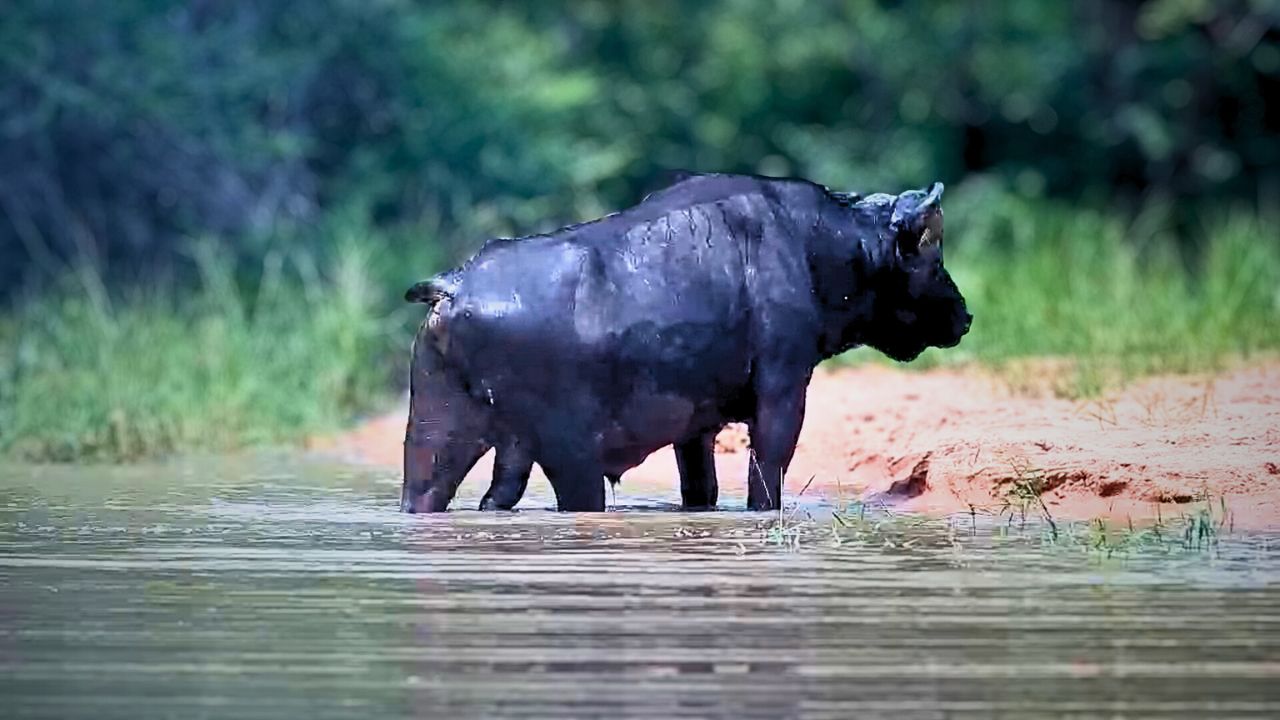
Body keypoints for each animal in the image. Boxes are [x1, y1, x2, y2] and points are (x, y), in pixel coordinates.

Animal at [400, 173, 971, 513]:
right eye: (932, 255)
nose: (965, 317)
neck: (815, 248)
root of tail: (454, 284)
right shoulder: (784, 392)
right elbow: (766, 478)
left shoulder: (696, 429)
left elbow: (702, 488)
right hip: (570, 456)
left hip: (444, 440)